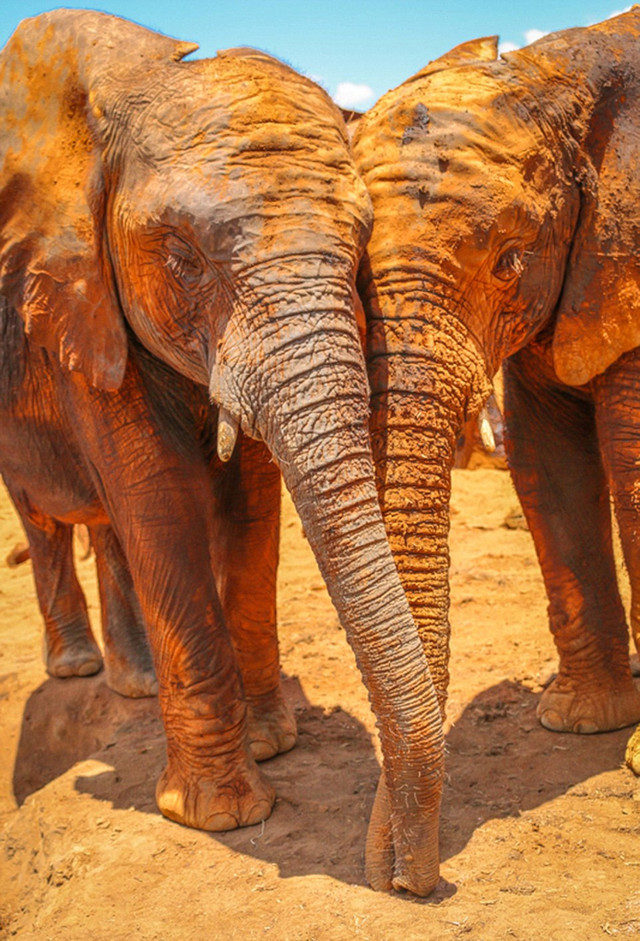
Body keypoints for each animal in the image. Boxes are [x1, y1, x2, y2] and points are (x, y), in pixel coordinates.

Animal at [0, 11, 444, 896]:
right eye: (182, 257)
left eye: (360, 246)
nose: (405, 880)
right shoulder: (78, 297)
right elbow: (158, 496)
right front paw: (221, 815)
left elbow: (252, 503)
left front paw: (274, 743)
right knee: (47, 516)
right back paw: (76, 671)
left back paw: (134, 683)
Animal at [352, 7, 640, 888]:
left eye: (511, 261)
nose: (405, 880)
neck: (559, 70)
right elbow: (547, 468)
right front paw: (580, 723)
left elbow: (631, 454)